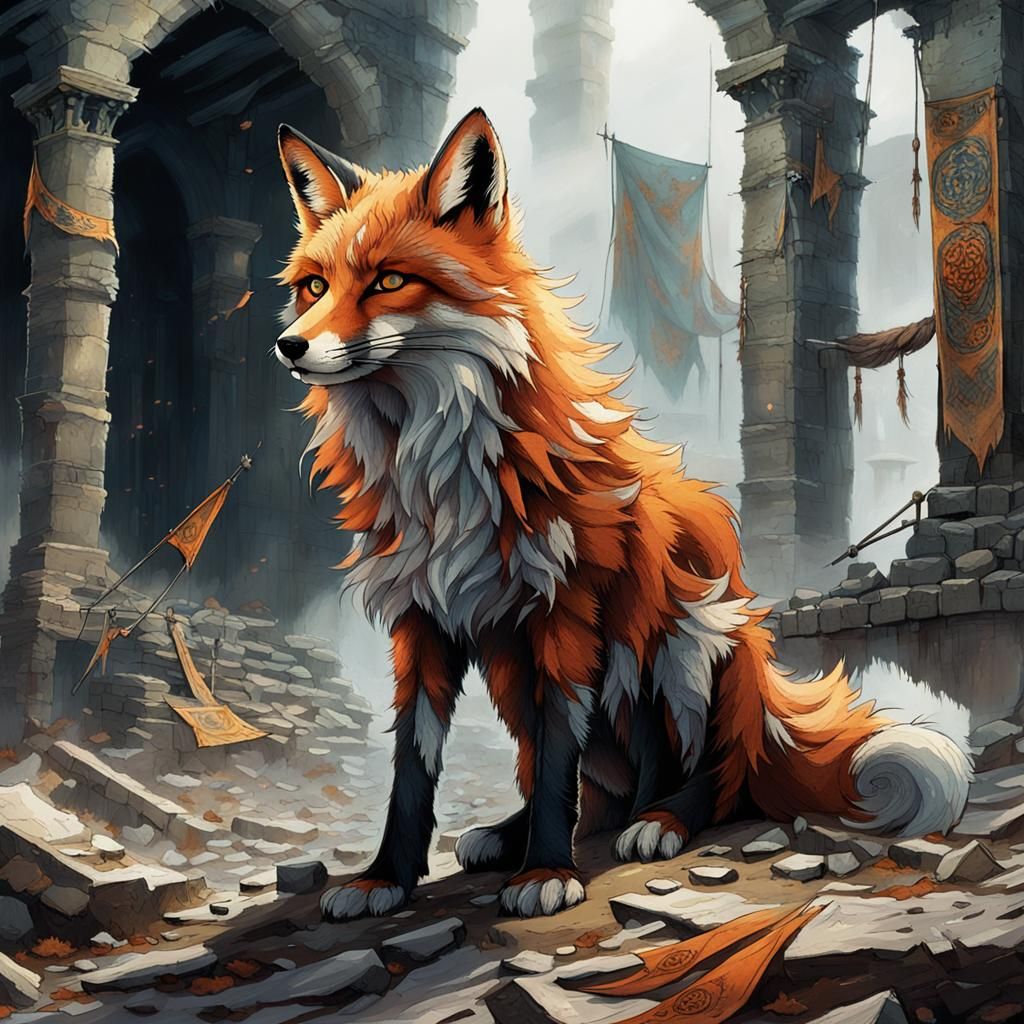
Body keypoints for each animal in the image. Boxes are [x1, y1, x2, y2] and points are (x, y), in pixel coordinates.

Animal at [273, 109, 972, 921]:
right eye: (314, 286)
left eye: (388, 280)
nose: (289, 346)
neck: (440, 476)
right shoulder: (422, 621)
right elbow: (415, 765)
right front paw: (385, 877)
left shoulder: (565, 613)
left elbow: (555, 766)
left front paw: (547, 871)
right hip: (515, 671)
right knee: (598, 795)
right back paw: (522, 833)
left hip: (684, 638)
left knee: (714, 780)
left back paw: (662, 820)